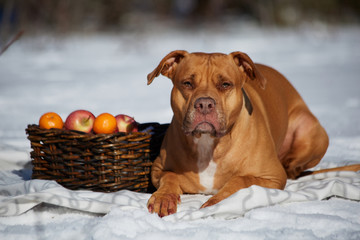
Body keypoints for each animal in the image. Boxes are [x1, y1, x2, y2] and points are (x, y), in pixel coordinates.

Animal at [145, 50, 358, 218]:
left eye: (225, 84)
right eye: (187, 83)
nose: (204, 103)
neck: (210, 144)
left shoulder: (273, 176)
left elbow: (240, 179)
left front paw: (216, 202)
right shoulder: (158, 169)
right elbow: (170, 177)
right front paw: (163, 198)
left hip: (312, 131)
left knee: (293, 169)